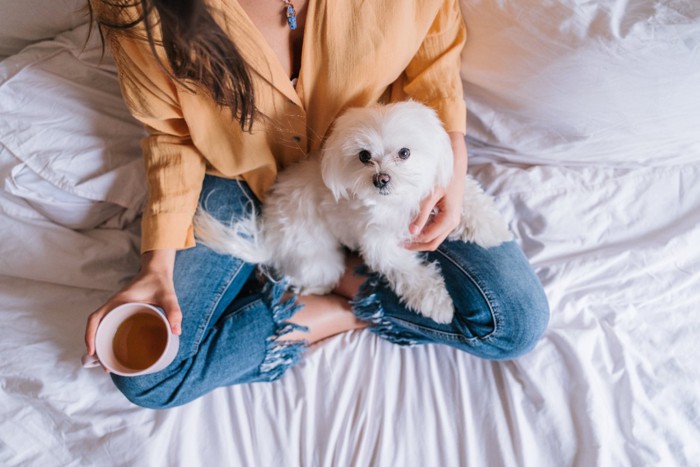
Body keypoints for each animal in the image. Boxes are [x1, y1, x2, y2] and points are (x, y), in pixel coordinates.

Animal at [194, 101, 512, 324]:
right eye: (364, 156)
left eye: (405, 153)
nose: (381, 179)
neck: (397, 202)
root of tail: (269, 236)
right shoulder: (379, 243)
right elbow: (409, 272)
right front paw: (437, 303)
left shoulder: (432, 193)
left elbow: (467, 197)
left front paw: (491, 227)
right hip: (317, 258)